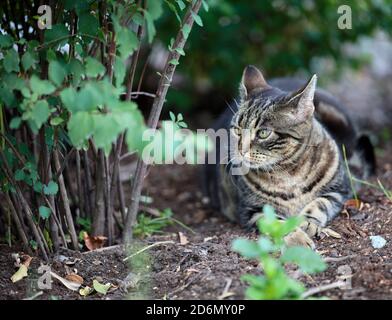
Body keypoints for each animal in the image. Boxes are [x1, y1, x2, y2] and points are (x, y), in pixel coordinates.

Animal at [204, 65, 376, 248]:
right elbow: (276, 223)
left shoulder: (339, 191)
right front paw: (297, 238)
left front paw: (307, 222)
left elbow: (319, 203)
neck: (290, 173)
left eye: (263, 133)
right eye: (237, 130)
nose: (240, 150)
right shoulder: (253, 210)